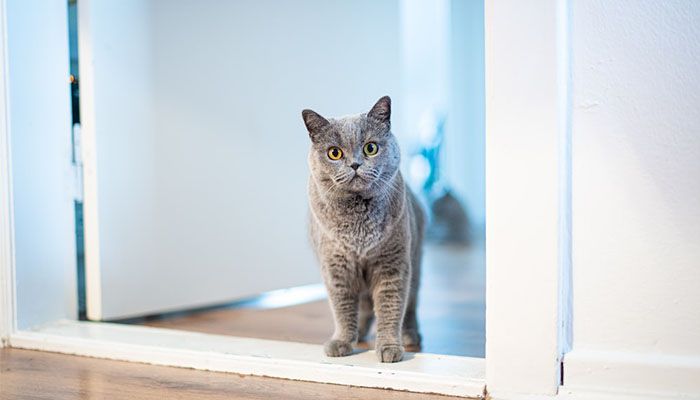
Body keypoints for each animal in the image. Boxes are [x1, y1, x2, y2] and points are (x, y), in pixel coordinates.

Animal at [302, 97, 424, 362]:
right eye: (334, 153)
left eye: (370, 148)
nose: (355, 164)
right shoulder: (336, 268)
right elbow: (342, 308)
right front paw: (342, 342)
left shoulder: (392, 265)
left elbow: (390, 307)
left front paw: (389, 347)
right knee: (364, 307)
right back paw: (359, 332)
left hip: (416, 262)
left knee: (410, 305)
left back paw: (409, 335)